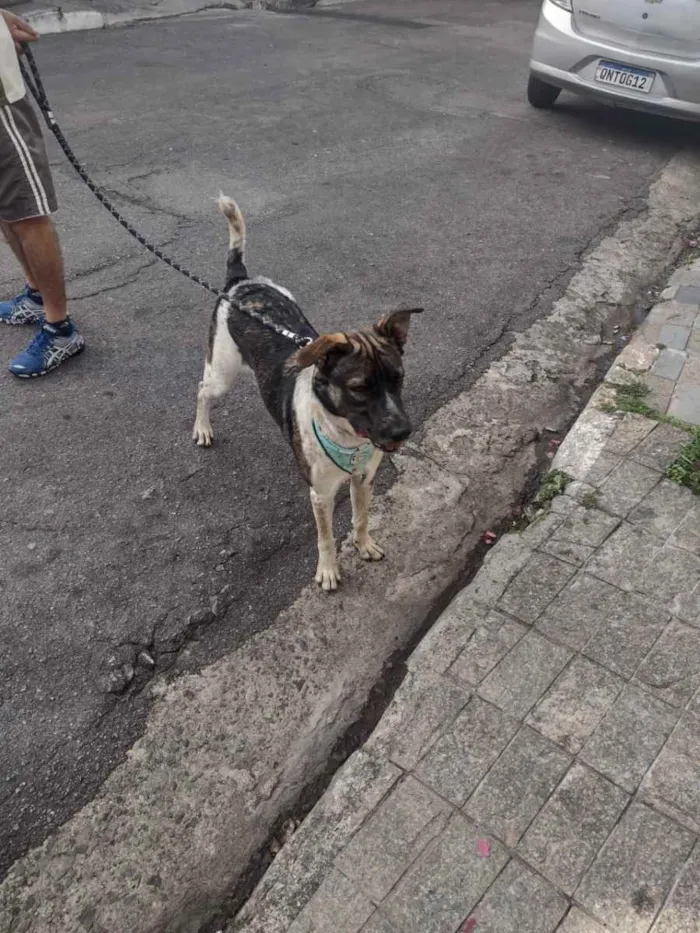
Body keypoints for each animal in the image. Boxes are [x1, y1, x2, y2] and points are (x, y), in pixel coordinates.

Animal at [191, 197, 422, 588]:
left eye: (398, 378)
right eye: (359, 388)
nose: (402, 431)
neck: (345, 436)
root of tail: (241, 281)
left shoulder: (364, 479)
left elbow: (361, 518)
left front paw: (364, 545)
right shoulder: (321, 494)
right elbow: (325, 538)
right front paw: (328, 571)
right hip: (223, 369)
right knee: (202, 390)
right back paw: (202, 429)